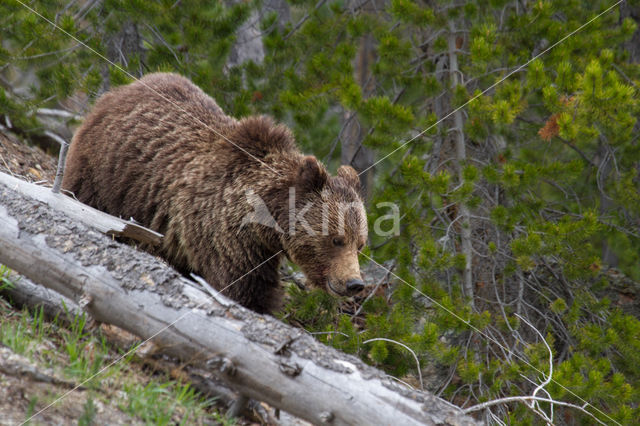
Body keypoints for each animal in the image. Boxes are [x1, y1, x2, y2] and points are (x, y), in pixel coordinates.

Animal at [63, 72, 370, 312]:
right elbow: (242, 287)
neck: (266, 222)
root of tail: (121, 90)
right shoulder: (226, 232)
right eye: (336, 239)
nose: (354, 283)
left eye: (360, 244)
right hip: (104, 174)